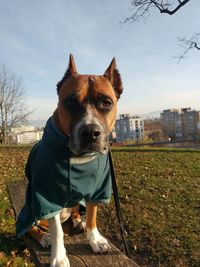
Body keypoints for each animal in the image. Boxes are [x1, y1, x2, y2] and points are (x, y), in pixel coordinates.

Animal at [16, 55, 123, 266]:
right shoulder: (47, 197)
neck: (80, 159)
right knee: (31, 227)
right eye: (71, 102)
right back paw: (44, 237)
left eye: (107, 103)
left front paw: (94, 239)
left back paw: (77, 221)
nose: (90, 132)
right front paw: (58, 257)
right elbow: (57, 231)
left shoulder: (97, 189)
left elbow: (92, 215)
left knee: (75, 210)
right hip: (30, 207)